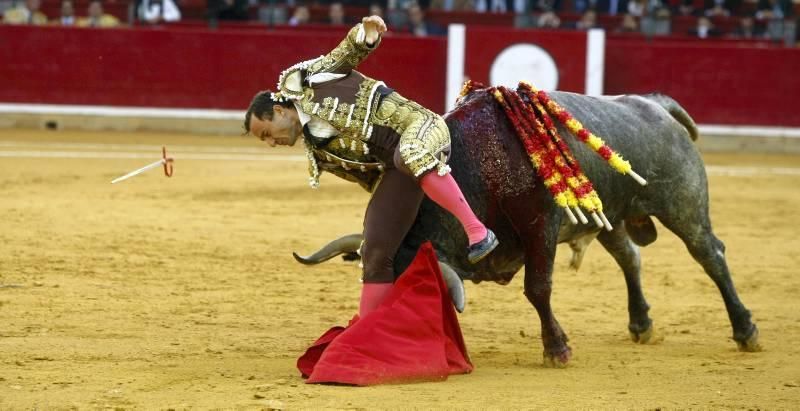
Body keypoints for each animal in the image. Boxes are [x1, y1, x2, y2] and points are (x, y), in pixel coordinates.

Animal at [290, 84, 760, 366]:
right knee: (630, 257)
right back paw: (641, 324)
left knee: (710, 255)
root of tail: (656, 104)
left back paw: (745, 330)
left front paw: (557, 349)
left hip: (683, 206)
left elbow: (538, 289)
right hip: (609, 217)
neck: (481, 167)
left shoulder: (540, 229)